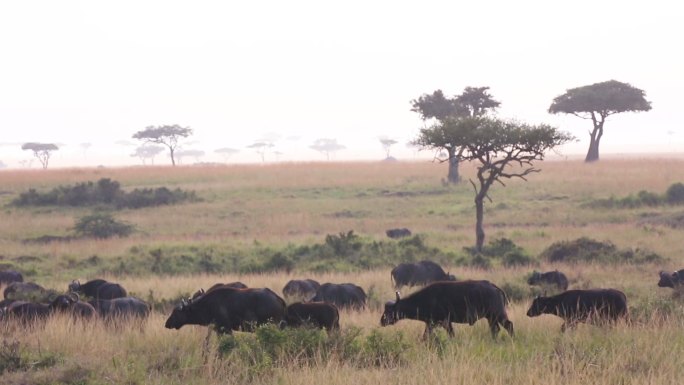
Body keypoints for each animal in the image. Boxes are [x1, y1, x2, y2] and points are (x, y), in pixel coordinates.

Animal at [380, 280, 512, 340]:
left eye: (389, 310)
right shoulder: (432, 324)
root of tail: (495, 287)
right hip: (491, 318)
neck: (426, 299)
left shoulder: (443, 322)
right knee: (495, 330)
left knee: (509, 325)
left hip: (498, 314)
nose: (382, 321)